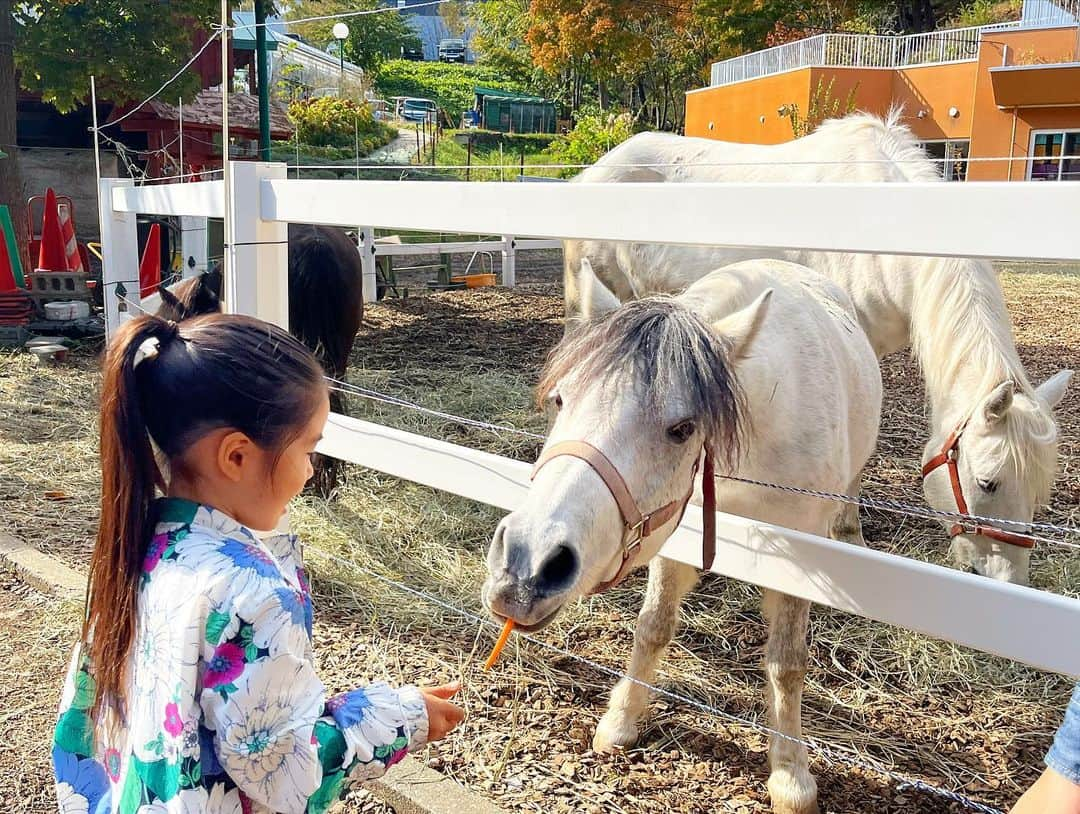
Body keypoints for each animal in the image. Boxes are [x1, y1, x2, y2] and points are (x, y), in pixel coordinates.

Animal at [486, 258, 881, 811]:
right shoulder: (674, 533)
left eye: (682, 429)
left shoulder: (797, 558)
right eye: (561, 398)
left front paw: (791, 776)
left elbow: (786, 663)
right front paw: (620, 721)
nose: (526, 568)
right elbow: (653, 627)